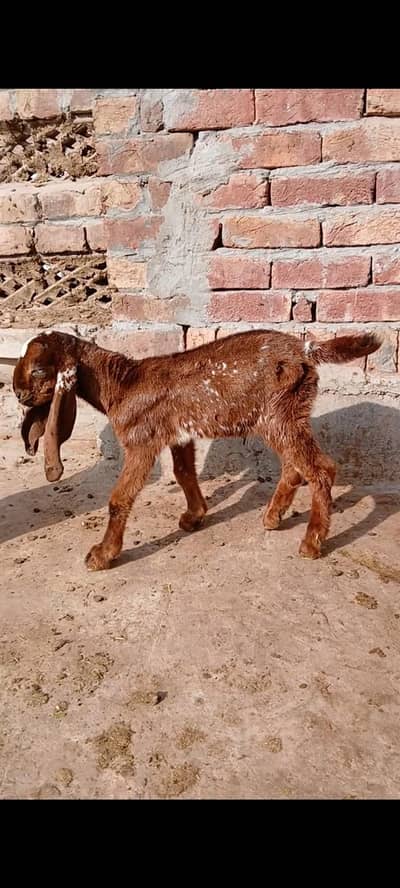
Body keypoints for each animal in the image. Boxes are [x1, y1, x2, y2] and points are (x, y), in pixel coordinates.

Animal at [13, 328, 380, 570]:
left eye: (39, 369)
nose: (18, 394)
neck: (121, 383)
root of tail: (306, 349)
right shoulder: (179, 435)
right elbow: (183, 472)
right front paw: (195, 515)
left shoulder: (141, 440)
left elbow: (120, 499)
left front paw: (103, 554)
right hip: (283, 414)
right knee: (295, 466)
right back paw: (273, 517)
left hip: (280, 413)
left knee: (320, 469)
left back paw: (312, 542)